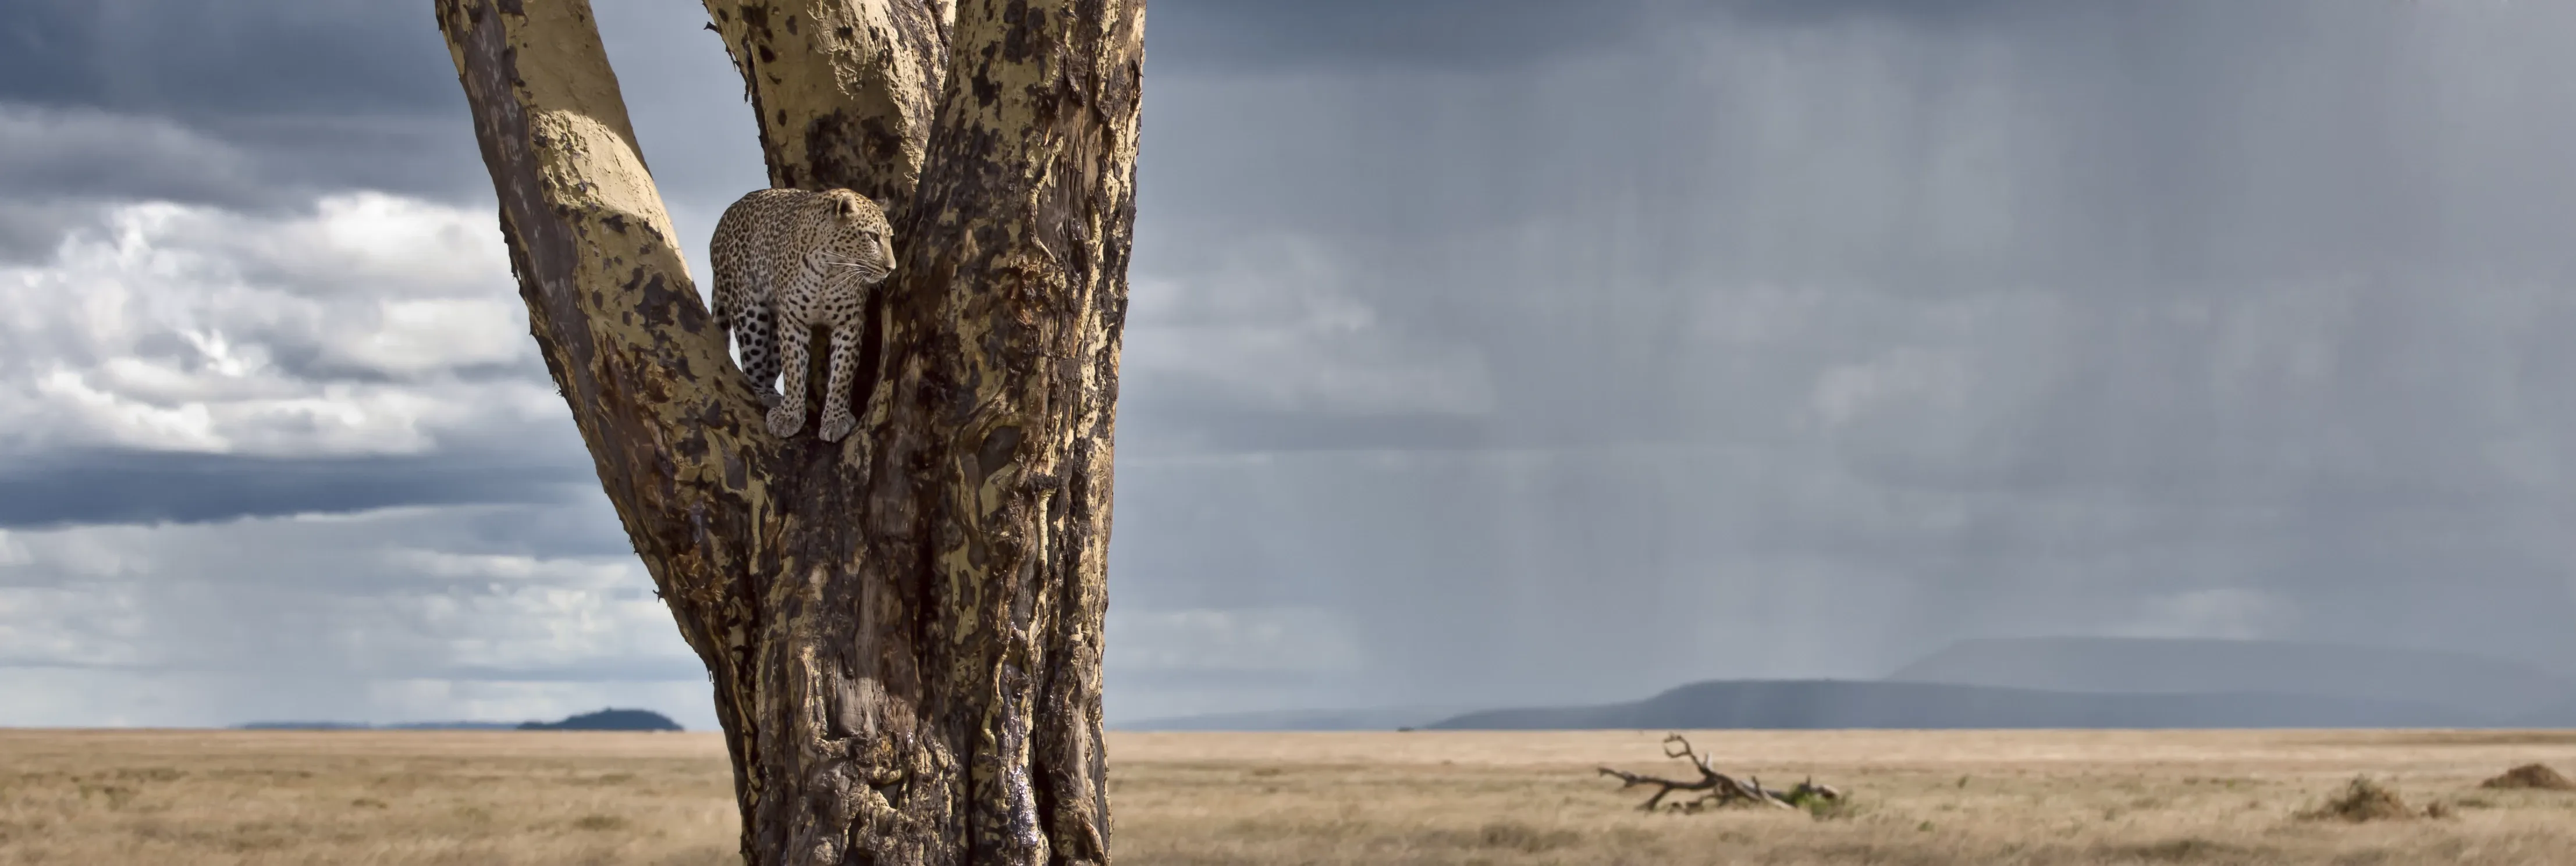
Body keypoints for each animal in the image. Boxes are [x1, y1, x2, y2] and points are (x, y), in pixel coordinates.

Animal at [708, 187, 897, 443]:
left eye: (889, 238)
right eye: (873, 237)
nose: (891, 268)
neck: (830, 269)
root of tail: (723, 219)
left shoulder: (849, 322)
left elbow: (842, 374)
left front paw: (836, 419)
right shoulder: (793, 320)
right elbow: (794, 370)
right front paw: (789, 416)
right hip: (750, 313)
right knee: (751, 366)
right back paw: (768, 397)